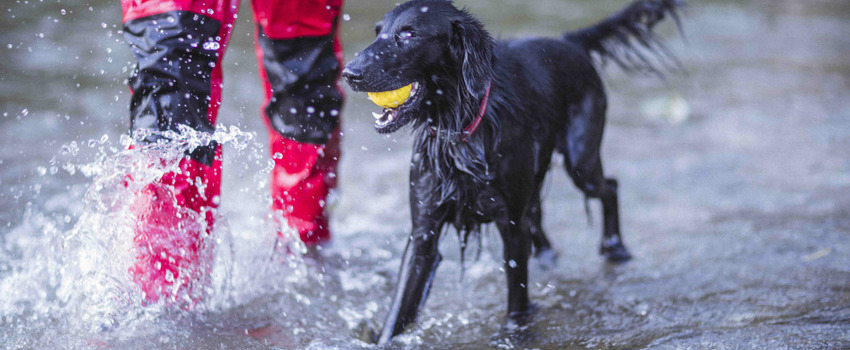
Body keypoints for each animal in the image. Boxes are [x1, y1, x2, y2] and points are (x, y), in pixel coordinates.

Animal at [342, 0, 680, 344]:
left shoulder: (511, 226)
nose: (349, 73)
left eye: (409, 34)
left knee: (609, 186)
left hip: (581, 162)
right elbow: (398, 313)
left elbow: (517, 304)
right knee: (542, 214)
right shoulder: (423, 232)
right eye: (378, 32)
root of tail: (568, 41)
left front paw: (514, 337)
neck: (460, 133)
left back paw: (615, 248)